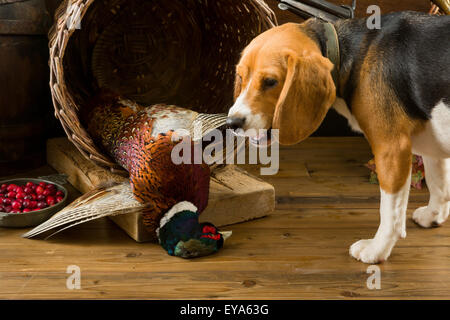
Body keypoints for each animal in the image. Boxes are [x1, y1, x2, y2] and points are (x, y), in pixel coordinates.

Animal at [229, 11, 450, 264]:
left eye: (270, 82)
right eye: (241, 77)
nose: (232, 122)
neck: (350, 50)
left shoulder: (392, 148)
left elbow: (390, 211)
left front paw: (377, 249)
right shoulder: (432, 142)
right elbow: (439, 184)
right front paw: (433, 215)